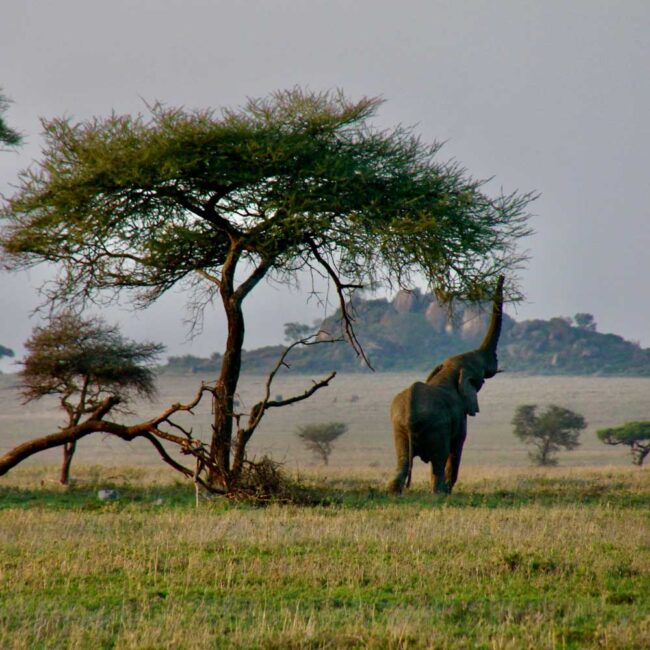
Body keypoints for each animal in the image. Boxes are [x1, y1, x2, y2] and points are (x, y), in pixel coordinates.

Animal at [388, 276, 504, 494]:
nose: (501, 276)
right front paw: (448, 491)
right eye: (480, 373)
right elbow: (457, 448)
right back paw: (440, 493)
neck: (449, 371)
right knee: (439, 459)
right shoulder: (460, 415)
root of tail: (409, 413)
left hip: (398, 426)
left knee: (402, 461)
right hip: (436, 426)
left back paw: (394, 492)